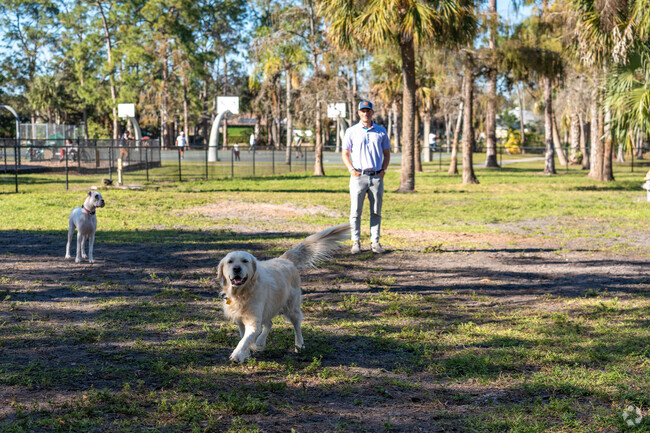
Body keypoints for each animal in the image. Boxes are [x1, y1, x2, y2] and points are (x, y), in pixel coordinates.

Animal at [218, 223, 350, 362]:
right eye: (230, 261)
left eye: (245, 261)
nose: (237, 269)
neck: (243, 292)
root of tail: (285, 259)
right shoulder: (241, 320)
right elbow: (244, 338)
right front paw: (246, 353)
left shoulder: (253, 321)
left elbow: (243, 341)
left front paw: (237, 354)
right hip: (270, 305)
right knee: (269, 323)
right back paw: (260, 342)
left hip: (291, 307)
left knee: (297, 325)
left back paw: (299, 345)